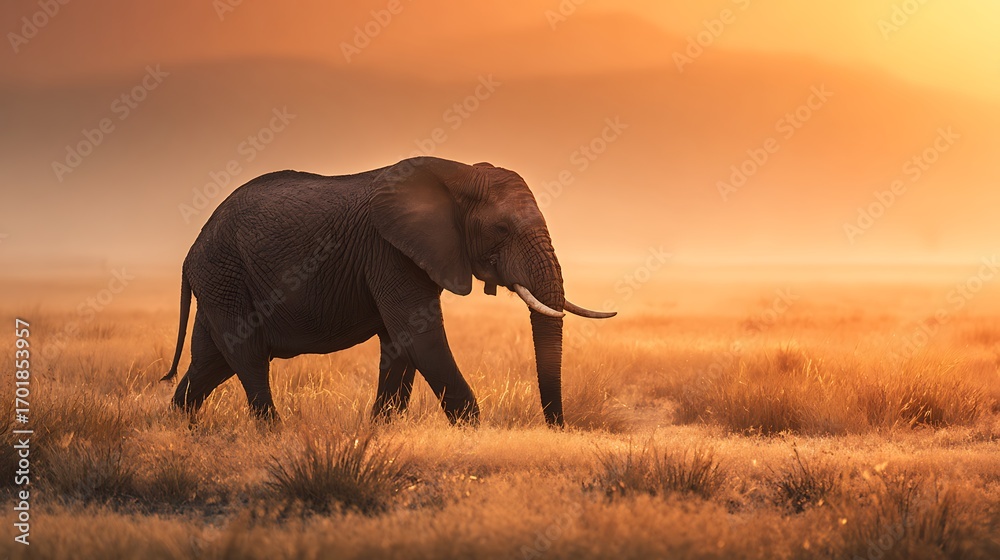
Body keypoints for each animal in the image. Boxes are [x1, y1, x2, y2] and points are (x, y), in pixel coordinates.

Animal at [161, 156, 615, 426]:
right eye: (501, 229)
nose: (557, 427)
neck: (457, 173)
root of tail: (191, 252)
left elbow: (400, 345)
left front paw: (380, 430)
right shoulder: (389, 250)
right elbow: (420, 337)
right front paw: (471, 430)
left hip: (221, 281)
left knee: (211, 362)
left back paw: (182, 427)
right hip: (225, 273)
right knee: (248, 356)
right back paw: (271, 432)